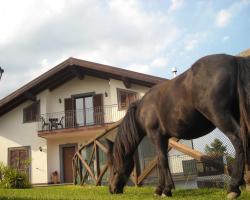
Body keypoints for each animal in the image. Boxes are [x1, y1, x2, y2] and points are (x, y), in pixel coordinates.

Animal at [106, 54, 250, 199]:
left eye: (113, 168)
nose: (111, 190)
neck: (142, 111)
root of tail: (233, 60)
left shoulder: (156, 136)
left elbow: (163, 161)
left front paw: (166, 190)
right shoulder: (163, 139)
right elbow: (160, 162)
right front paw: (159, 189)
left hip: (220, 116)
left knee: (239, 141)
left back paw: (233, 188)